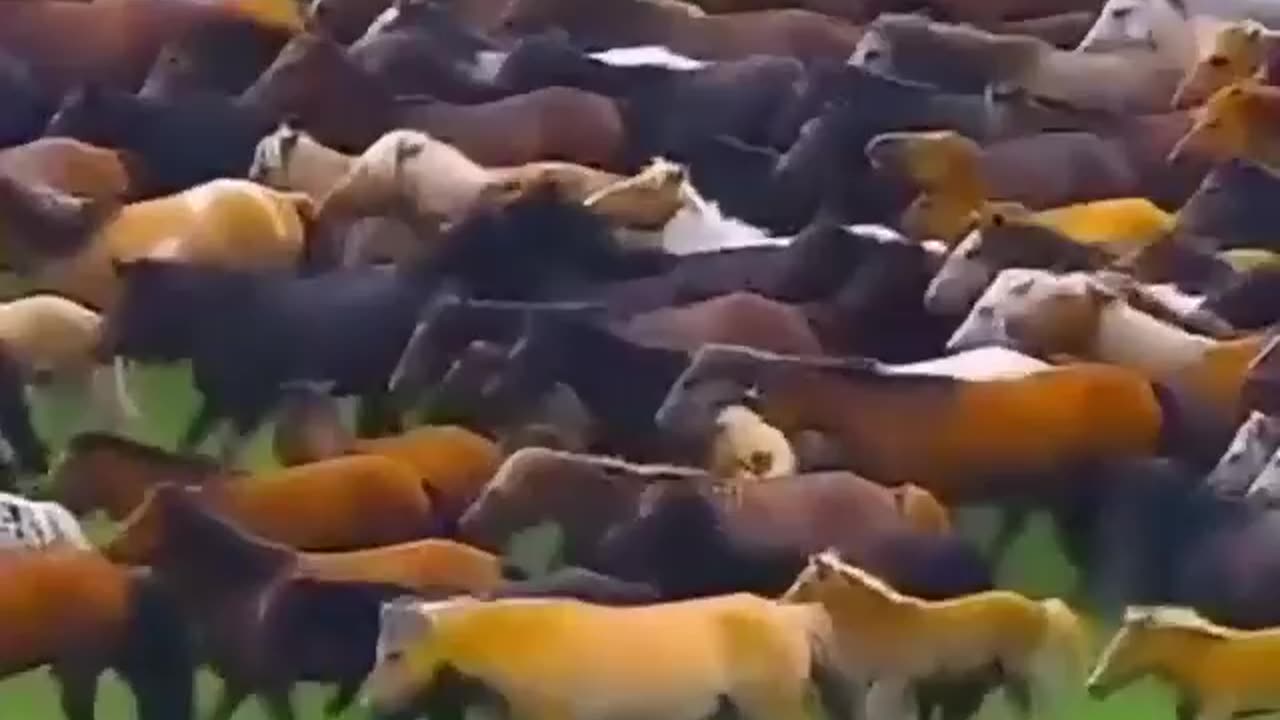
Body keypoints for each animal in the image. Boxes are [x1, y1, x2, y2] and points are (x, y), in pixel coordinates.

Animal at [783, 550, 1089, 720]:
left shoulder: (891, 681)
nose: (782, 600)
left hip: (1020, 672)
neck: (878, 618)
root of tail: (1040, 607)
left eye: (805, 581)